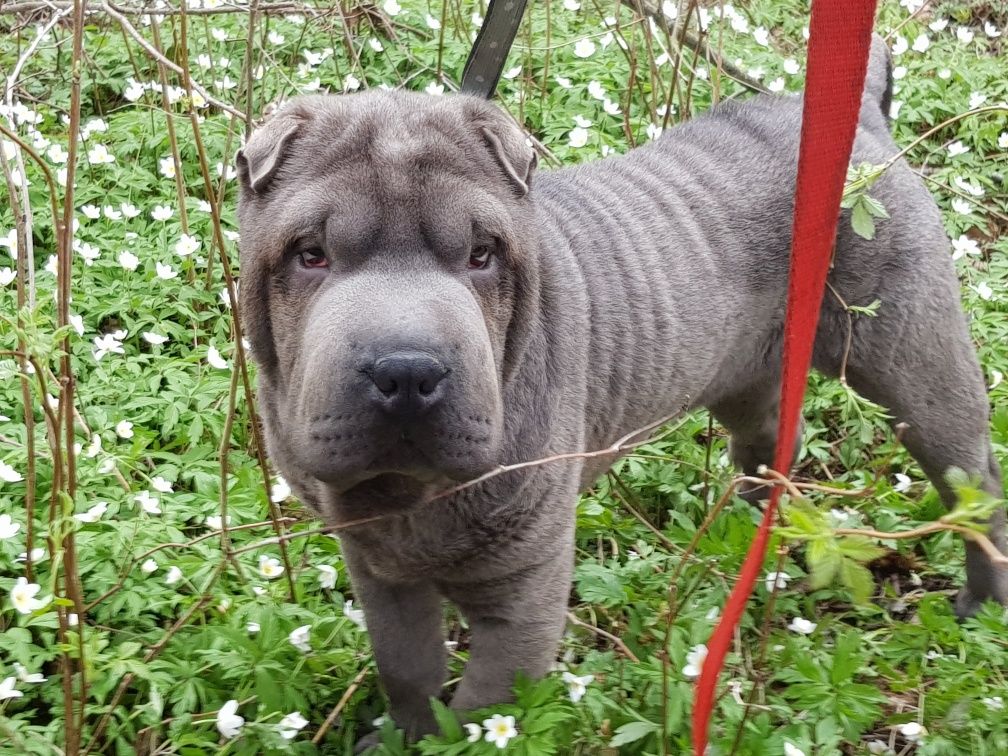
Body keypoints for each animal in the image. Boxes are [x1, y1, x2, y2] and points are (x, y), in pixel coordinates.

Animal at [233, 38, 999, 741]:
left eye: (483, 256)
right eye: (310, 255)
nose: (406, 371)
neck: (408, 496)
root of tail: (860, 117)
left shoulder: (524, 594)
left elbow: (482, 713)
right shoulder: (380, 570)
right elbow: (407, 669)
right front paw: (402, 734)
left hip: (912, 353)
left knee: (973, 479)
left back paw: (981, 603)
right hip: (746, 372)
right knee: (769, 443)